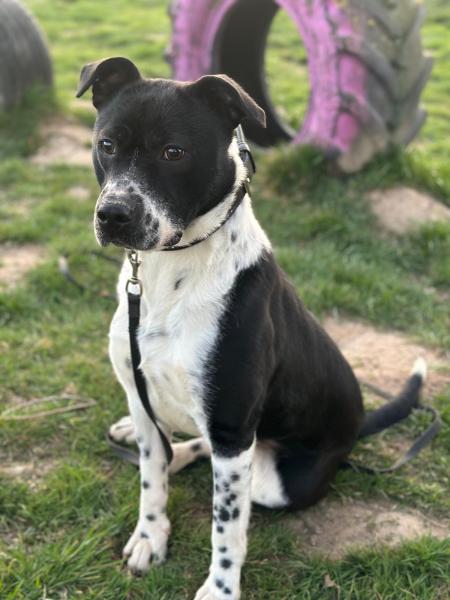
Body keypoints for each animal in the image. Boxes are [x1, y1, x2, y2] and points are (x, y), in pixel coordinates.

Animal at [77, 57, 426, 600]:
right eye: (107, 144)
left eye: (174, 152)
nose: (113, 215)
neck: (167, 272)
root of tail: (355, 428)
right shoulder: (144, 396)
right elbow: (151, 480)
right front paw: (151, 535)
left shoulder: (231, 420)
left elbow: (227, 526)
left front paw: (220, 589)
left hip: (272, 475)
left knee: (238, 473)